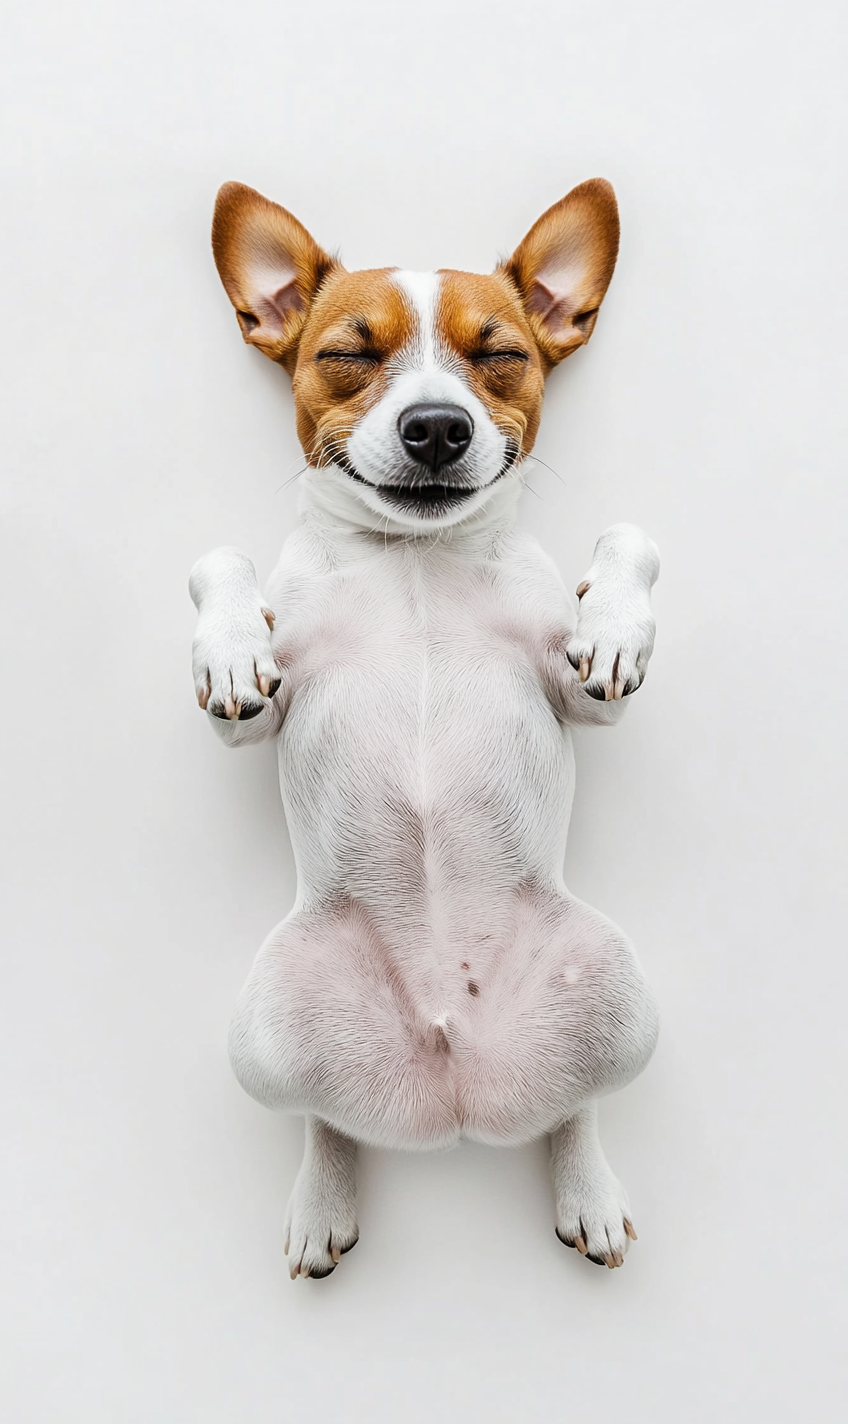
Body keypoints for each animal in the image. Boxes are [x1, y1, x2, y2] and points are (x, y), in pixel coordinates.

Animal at [190, 178, 663, 1281]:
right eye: (348, 355)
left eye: (501, 356)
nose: (438, 427)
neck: (414, 556)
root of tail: (452, 1067)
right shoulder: (253, 720)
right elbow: (220, 560)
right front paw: (229, 646)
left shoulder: (585, 698)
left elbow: (628, 541)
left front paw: (613, 626)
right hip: (265, 1031)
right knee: (324, 1117)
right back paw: (322, 1202)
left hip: (619, 998)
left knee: (576, 1106)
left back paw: (587, 1193)